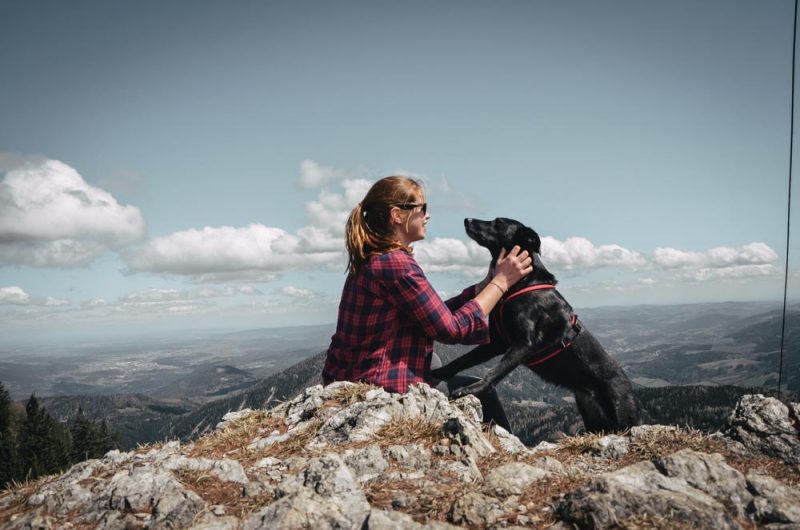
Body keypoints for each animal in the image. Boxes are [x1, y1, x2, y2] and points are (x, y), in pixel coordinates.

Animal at [434, 217, 640, 432]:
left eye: (498, 222)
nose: (467, 219)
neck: (522, 283)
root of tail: (630, 388)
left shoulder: (524, 344)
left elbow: (494, 372)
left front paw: (471, 389)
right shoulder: (495, 343)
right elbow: (463, 360)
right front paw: (438, 372)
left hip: (622, 415)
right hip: (593, 417)